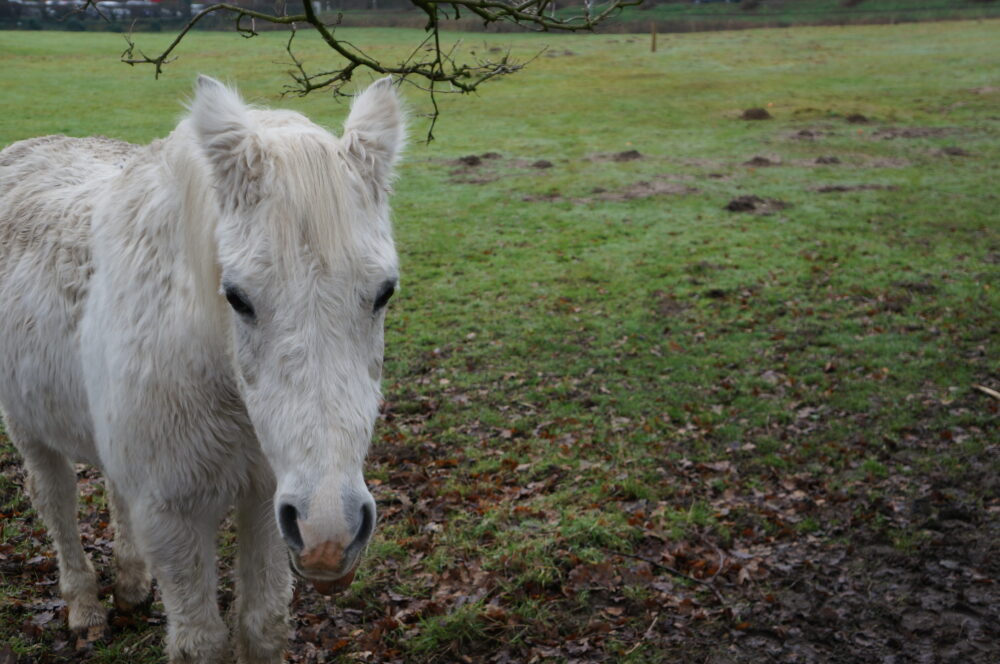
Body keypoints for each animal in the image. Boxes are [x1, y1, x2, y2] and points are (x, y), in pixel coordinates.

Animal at [0, 75, 406, 660]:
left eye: (384, 292)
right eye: (236, 297)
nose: (329, 535)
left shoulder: (268, 499)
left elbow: (261, 625)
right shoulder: (172, 516)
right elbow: (202, 642)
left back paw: (130, 584)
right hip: (30, 430)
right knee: (57, 501)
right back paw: (85, 609)